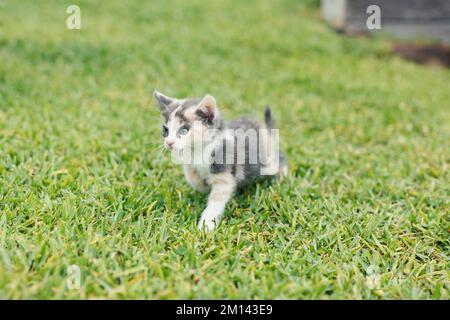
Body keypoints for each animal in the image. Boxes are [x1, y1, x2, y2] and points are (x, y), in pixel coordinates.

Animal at [154, 89, 288, 230]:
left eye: (184, 130)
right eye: (165, 130)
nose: (169, 143)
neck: (198, 151)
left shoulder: (223, 172)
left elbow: (216, 200)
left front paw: (206, 226)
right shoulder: (191, 166)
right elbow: (194, 180)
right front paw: (204, 185)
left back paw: (281, 175)